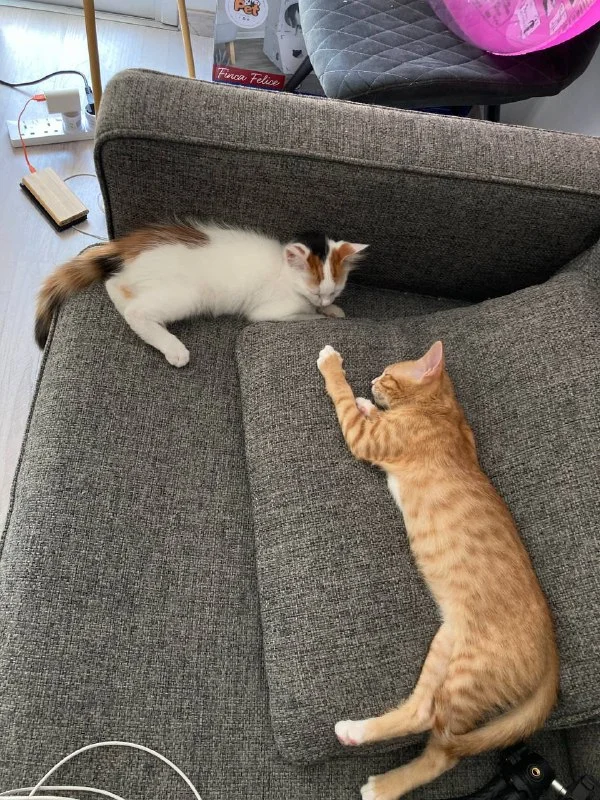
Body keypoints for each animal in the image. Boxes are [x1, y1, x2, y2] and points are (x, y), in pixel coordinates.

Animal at [35, 224, 366, 367]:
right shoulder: (269, 310)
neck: (282, 272)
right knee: (135, 310)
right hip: (187, 293)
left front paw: (332, 310)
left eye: (335, 289)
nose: (325, 300)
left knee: (115, 284)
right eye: (314, 288)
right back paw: (173, 348)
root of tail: (129, 247)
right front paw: (324, 315)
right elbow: (303, 316)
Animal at [316, 341, 559, 800]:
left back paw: (383, 785)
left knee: (442, 747)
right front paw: (366, 402)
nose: (372, 380)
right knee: (420, 711)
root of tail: (553, 650)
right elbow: (363, 411)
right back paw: (356, 732)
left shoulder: (368, 440)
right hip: (444, 648)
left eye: (388, 373)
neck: (443, 411)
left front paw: (335, 369)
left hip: (468, 678)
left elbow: (343, 402)